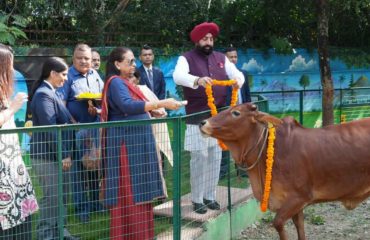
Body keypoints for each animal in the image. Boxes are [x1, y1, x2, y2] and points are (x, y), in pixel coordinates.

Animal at [201, 101, 370, 240]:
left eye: (236, 113)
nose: (203, 122)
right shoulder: (295, 205)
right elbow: (300, 227)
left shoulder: (299, 198)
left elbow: (278, 223)